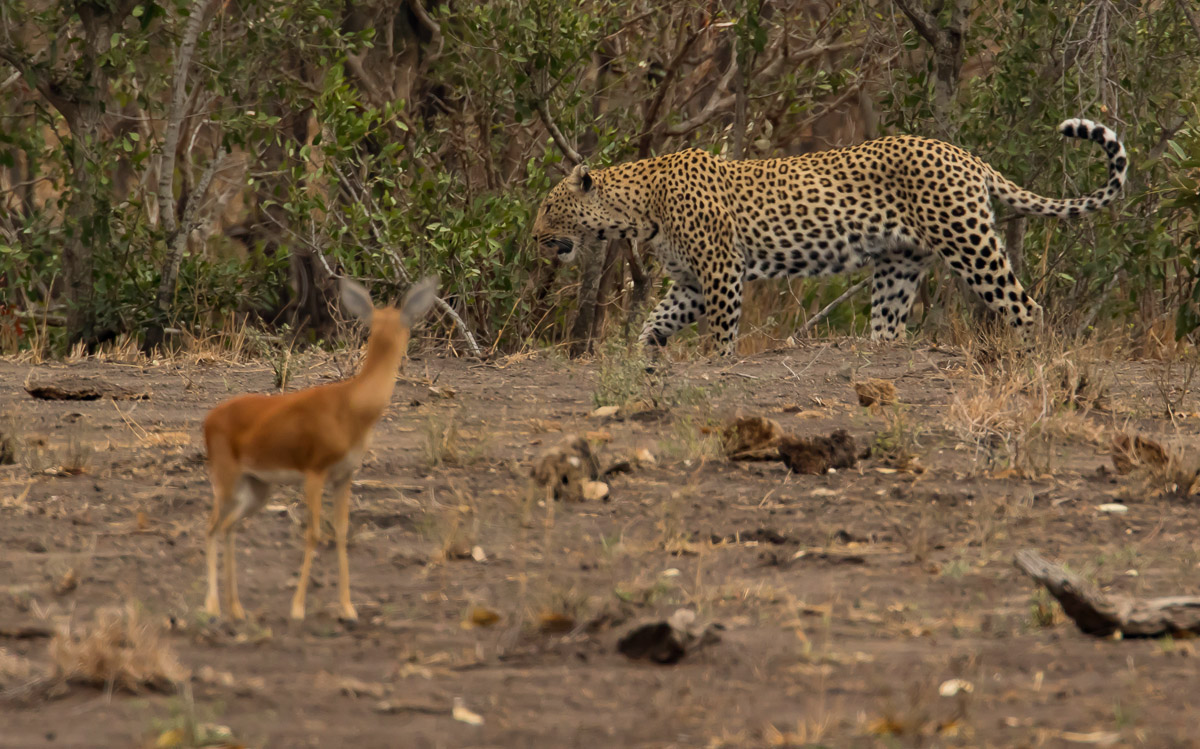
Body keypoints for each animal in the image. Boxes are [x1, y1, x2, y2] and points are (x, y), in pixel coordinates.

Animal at [532, 118, 1127, 354]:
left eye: (548, 209)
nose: (534, 239)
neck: (635, 209)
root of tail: (964, 154)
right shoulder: (692, 283)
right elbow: (656, 319)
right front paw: (643, 353)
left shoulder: (722, 271)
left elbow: (722, 332)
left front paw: (716, 361)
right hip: (899, 264)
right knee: (888, 325)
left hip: (968, 241)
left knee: (1025, 307)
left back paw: (1027, 358)